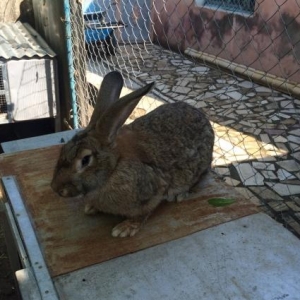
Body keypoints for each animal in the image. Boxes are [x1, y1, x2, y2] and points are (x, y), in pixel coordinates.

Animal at [52, 70, 216, 237]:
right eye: (64, 149)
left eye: (85, 160)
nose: (56, 189)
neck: (114, 167)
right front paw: (91, 207)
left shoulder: (154, 191)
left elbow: (144, 212)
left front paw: (124, 228)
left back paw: (180, 195)